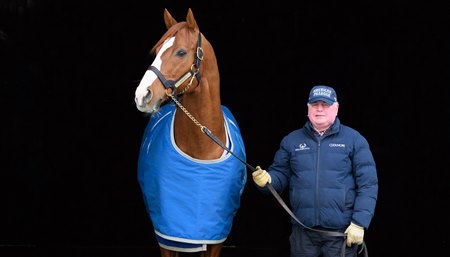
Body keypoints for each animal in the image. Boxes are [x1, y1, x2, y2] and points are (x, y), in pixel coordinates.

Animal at [134, 8, 246, 256]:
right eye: (156, 50)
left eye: (181, 52)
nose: (142, 95)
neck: (201, 150)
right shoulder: (167, 237)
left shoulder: (215, 239)